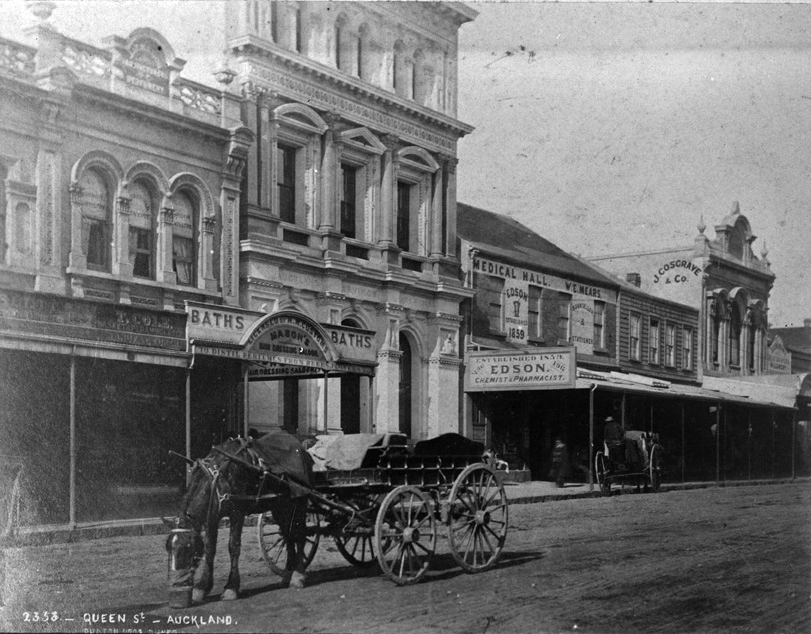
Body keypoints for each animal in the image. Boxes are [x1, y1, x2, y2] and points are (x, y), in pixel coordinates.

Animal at [167, 432, 312, 600]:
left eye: (186, 551)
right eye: (170, 550)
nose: (177, 584)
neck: (216, 475)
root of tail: (300, 447)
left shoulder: (237, 513)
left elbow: (233, 547)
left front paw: (232, 587)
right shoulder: (212, 516)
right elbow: (210, 548)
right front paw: (202, 586)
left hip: (300, 501)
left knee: (299, 534)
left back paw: (298, 575)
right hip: (280, 506)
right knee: (288, 535)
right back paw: (288, 574)